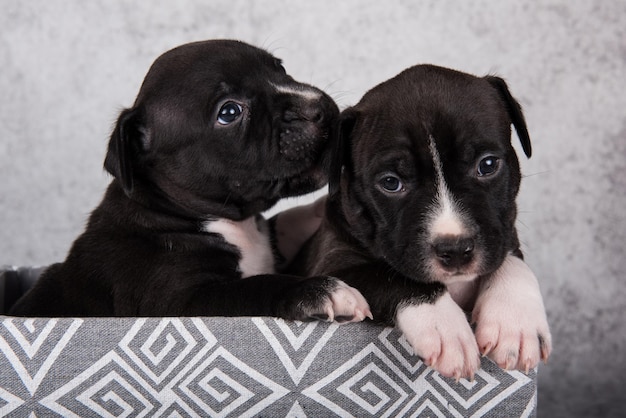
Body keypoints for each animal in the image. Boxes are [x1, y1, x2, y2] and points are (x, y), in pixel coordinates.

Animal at [8, 39, 366, 322]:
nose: (317, 108)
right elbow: (256, 286)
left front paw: (318, 209)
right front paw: (317, 291)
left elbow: (282, 226)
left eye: (280, 68)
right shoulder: (181, 302)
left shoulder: (267, 245)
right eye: (229, 113)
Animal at [288, 64, 552, 378]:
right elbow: (394, 276)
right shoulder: (336, 263)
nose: (455, 249)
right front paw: (445, 328)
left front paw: (515, 321)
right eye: (391, 183)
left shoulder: (502, 235)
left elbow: (512, 261)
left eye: (488, 165)